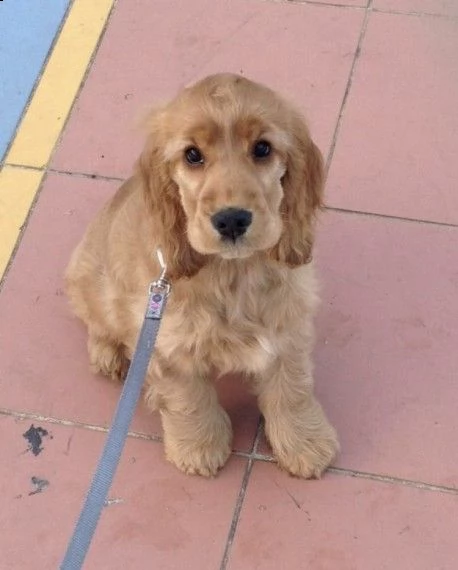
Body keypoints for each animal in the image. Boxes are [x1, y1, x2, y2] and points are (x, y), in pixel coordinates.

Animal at [65, 73, 336, 478]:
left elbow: (292, 389)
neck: (233, 272)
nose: (232, 220)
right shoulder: (167, 344)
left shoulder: (288, 326)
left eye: (262, 148)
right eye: (192, 155)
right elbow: (187, 399)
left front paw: (306, 442)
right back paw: (108, 355)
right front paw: (199, 447)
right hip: (88, 279)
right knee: (98, 321)